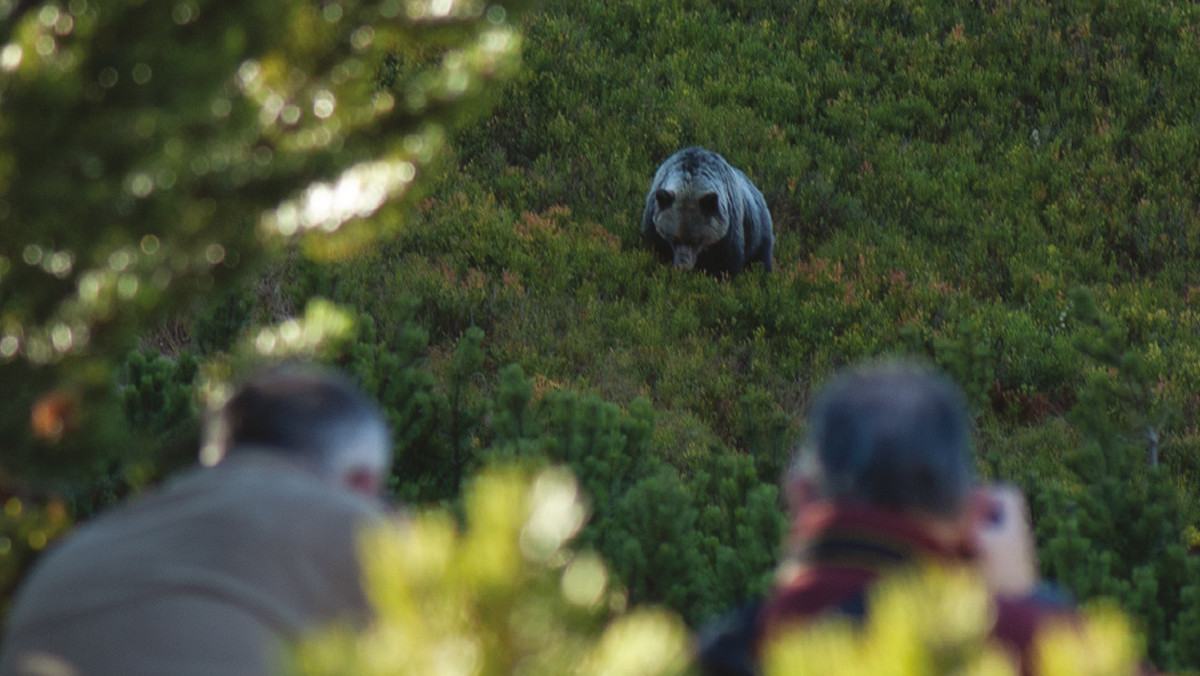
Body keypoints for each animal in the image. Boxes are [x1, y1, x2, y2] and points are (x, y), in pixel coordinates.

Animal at [643, 147, 772, 276]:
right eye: (673, 238)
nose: (683, 266)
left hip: (759, 230)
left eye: (696, 240)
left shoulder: (728, 232)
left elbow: (728, 263)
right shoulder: (653, 225)